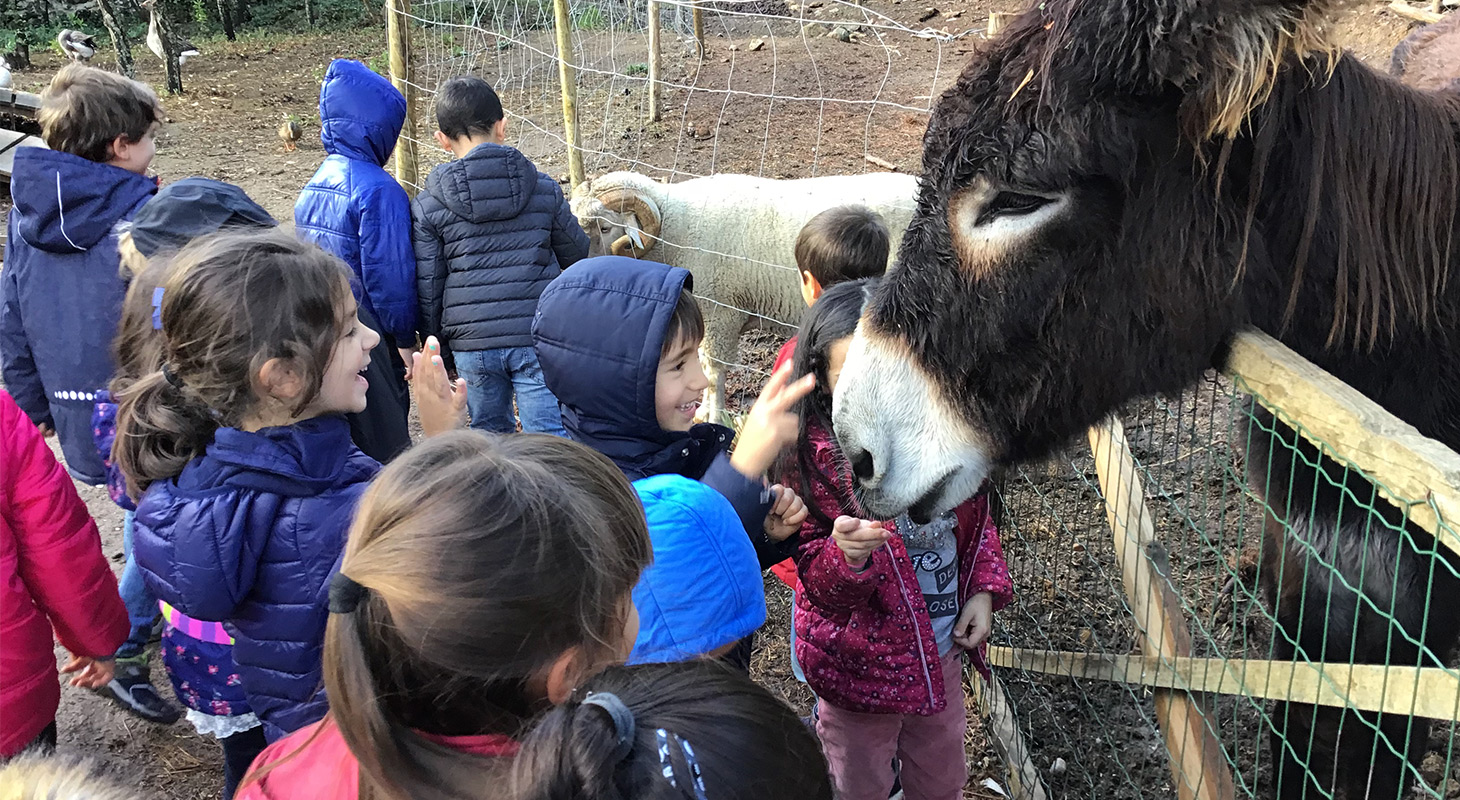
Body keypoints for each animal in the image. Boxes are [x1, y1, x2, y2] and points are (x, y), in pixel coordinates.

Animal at [566, 169, 916, 426]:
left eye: (606, 228)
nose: (576, 264)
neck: (675, 228)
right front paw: (702, 410)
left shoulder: (720, 313)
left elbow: (713, 371)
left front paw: (713, 416)